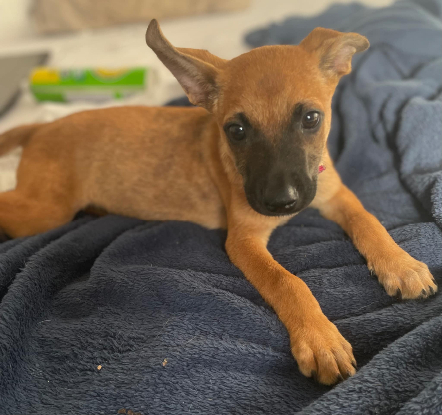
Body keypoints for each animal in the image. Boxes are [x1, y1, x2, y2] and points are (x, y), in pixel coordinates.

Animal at [0, 20, 437, 385]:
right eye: (236, 130)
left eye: (311, 118)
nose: (281, 203)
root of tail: (41, 128)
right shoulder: (242, 239)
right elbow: (288, 282)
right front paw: (320, 339)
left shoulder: (334, 194)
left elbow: (369, 221)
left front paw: (400, 264)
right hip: (44, 210)